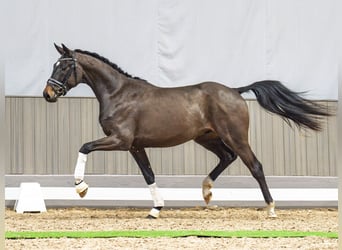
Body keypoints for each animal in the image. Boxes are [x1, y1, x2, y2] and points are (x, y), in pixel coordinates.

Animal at [42, 44, 332, 218]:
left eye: (64, 66)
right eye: (54, 65)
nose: (48, 94)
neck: (118, 94)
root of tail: (235, 91)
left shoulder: (120, 140)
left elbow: (84, 146)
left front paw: (81, 187)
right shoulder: (135, 145)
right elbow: (148, 175)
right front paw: (156, 209)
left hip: (235, 137)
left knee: (255, 166)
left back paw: (271, 208)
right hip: (207, 138)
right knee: (227, 157)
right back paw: (206, 191)